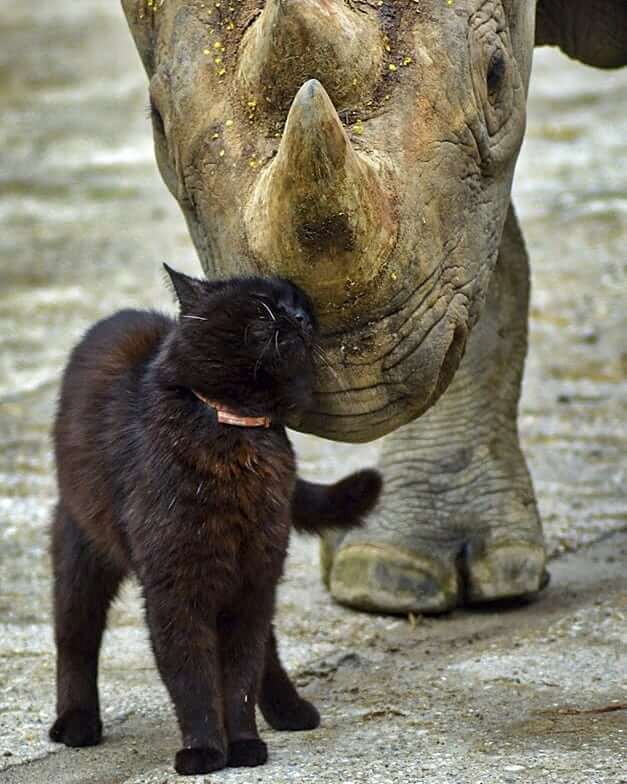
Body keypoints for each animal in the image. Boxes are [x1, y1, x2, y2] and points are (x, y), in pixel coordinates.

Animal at [47, 268, 382, 776]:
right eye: (265, 301)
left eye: (302, 303)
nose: (300, 315)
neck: (237, 436)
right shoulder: (175, 592)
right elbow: (193, 679)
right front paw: (204, 751)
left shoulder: (253, 583)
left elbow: (241, 674)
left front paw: (243, 744)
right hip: (79, 551)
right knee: (75, 638)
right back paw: (77, 722)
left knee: (267, 649)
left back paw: (288, 710)